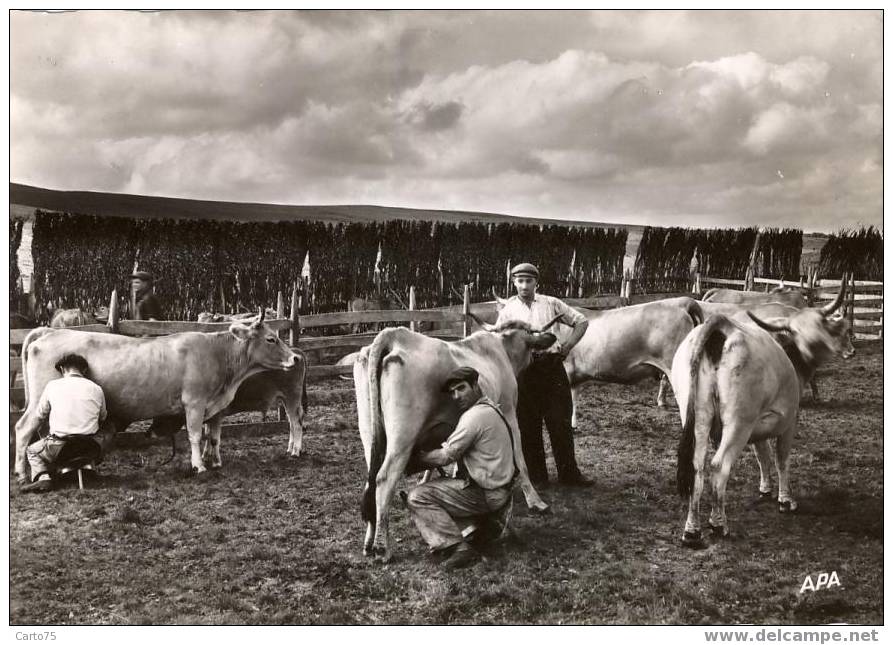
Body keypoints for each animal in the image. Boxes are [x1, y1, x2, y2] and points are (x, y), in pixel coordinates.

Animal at [13, 310, 296, 480]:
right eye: (271, 339)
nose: (295, 358)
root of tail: (49, 331)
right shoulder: (194, 403)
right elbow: (195, 436)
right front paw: (199, 466)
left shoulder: (215, 407)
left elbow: (214, 436)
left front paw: (215, 462)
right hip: (38, 401)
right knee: (23, 429)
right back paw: (21, 473)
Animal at [354, 320, 556, 560]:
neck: (501, 349)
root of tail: (394, 335)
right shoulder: (508, 411)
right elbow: (520, 459)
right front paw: (536, 501)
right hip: (402, 437)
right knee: (384, 479)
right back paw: (382, 548)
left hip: (369, 433)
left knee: (371, 481)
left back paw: (368, 543)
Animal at [668, 284, 852, 544]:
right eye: (799, 330)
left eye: (818, 325)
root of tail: (723, 325)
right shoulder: (788, 421)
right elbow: (781, 458)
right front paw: (785, 499)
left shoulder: (758, 426)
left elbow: (762, 454)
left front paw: (765, 488)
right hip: (738, 424)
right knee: (718, 467)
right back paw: (719, 524)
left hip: (697, 417)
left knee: (697, 467)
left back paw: (692, 530)